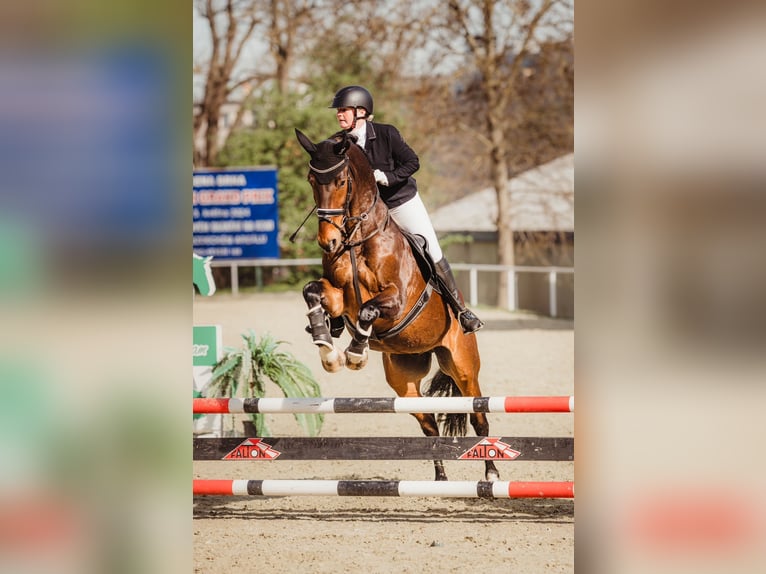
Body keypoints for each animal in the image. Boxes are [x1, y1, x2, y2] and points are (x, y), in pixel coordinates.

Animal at [296, 128, 500, 484]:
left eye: (340, 181)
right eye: (311, 179)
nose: (327, 243)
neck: (357, 237)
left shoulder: (397, 299)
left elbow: (369, 309)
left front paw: (355, 353)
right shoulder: (339, 296)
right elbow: (313, 292)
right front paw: (326, 344)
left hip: (462, 365)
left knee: (479, 418)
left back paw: (490, 474)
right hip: (404, 382)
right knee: (429, 424)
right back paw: (441, 479)